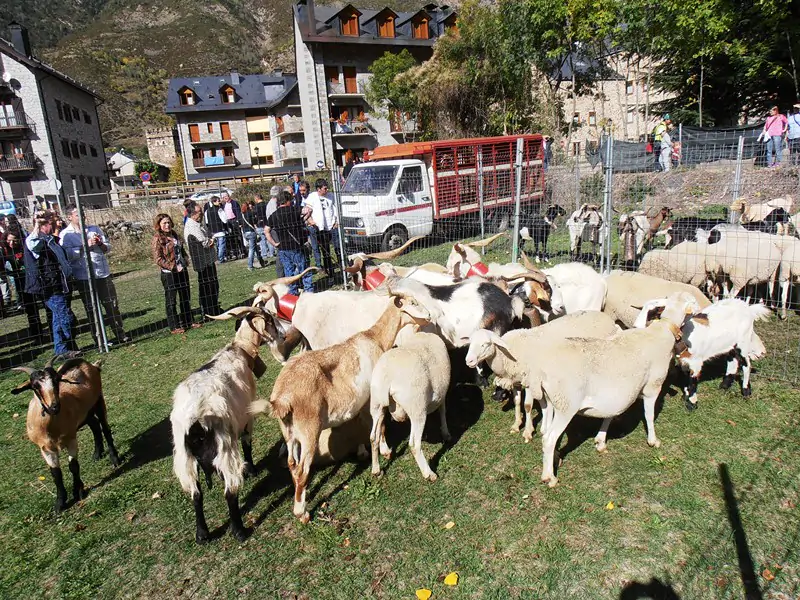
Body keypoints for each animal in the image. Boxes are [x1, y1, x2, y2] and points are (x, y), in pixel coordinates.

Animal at [11, 358, 119, 512]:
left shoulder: (71, 438)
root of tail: (88, 363)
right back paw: (97, 454)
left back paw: (114, 458)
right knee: (94, 425)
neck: (51, 428)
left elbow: (73, 466)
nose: (54, 406)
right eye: (35, 386)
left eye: (57, 380)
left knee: (105, 427)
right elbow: (56, 473)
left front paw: (78, 492)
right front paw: (59, 504)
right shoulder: (45, 448)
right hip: (85, 413)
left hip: (98, 400)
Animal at [368, 330, 450, 480]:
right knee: (414, 444)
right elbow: (443, 411)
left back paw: (376, 470)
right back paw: (429, 474)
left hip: (377, 404)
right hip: (416, 406)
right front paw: (446, 433)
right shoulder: (442, 393)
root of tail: (388, 376)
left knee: (373, 437)